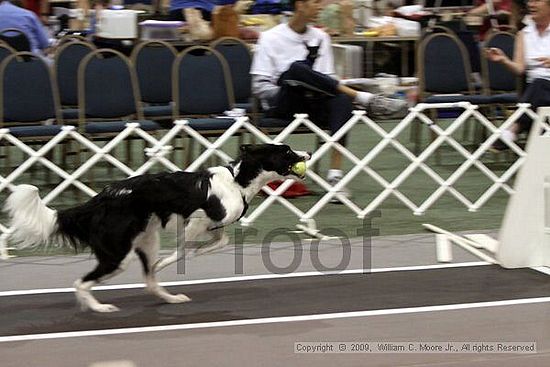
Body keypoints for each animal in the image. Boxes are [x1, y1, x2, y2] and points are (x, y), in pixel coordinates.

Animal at [3, 144, 310, 314]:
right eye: (286, 151)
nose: (307, 153)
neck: (238, 180)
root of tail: (101, 199)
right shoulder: (194, 220)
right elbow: (183, 250)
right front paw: (172, 261)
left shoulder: (215, 225)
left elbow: (219, 242)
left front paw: (200, 252)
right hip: (118, 254)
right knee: (81, 282)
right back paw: (99, 307)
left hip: (146, 241)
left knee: (149, 281)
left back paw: (171, 298)